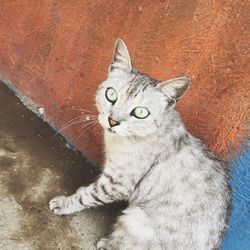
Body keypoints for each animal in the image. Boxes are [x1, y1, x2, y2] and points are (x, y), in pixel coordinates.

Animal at [49, 38, 231, 249]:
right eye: (111, 95)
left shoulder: (117, 182)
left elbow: (88, 195)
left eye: (141, 112)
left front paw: (65, 203)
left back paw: (106, 243)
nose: (113, 121)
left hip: (135, 218)